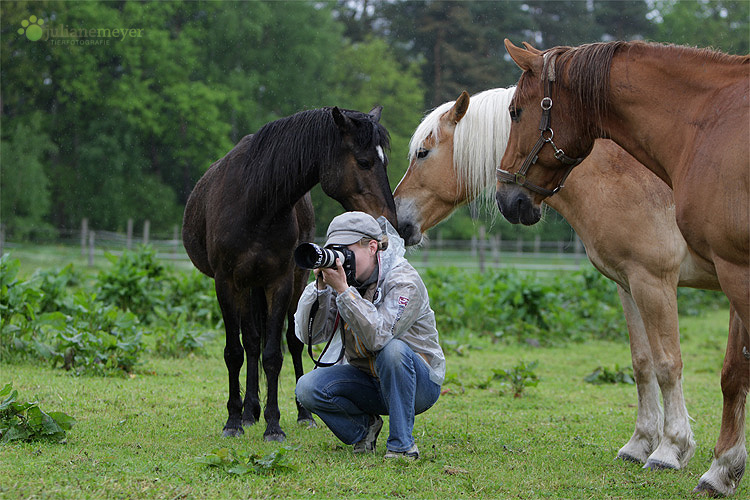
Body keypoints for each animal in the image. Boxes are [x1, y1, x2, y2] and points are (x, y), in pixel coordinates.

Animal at [183, 106, 400, 442]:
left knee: (290, 342)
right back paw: (248, 412)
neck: (255, 201)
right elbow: (235, 352)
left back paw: (301, 414)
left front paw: (273, 425)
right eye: (364, 162)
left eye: (384, 162)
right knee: (251, 343)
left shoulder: (281, 281)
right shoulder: (226, 282)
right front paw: (233, 420)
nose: (390, 221)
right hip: (247, 286)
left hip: (289, 281)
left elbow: (274, 353)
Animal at [396, 87, 720, 476]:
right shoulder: (629, 284)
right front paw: (639, 444)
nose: (398, 219)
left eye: (423, 152)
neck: (622, 176)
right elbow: (642, 364)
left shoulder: (655, 283)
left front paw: (671, 449)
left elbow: (668, 364)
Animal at [496, 41, 748, 498]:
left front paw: (675, 452)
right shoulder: (635, 281)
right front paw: (721, 469)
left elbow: (674, 363)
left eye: (516, 111)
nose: (508, 198)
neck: (709, 126)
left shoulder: (716, 273)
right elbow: (712, 370)